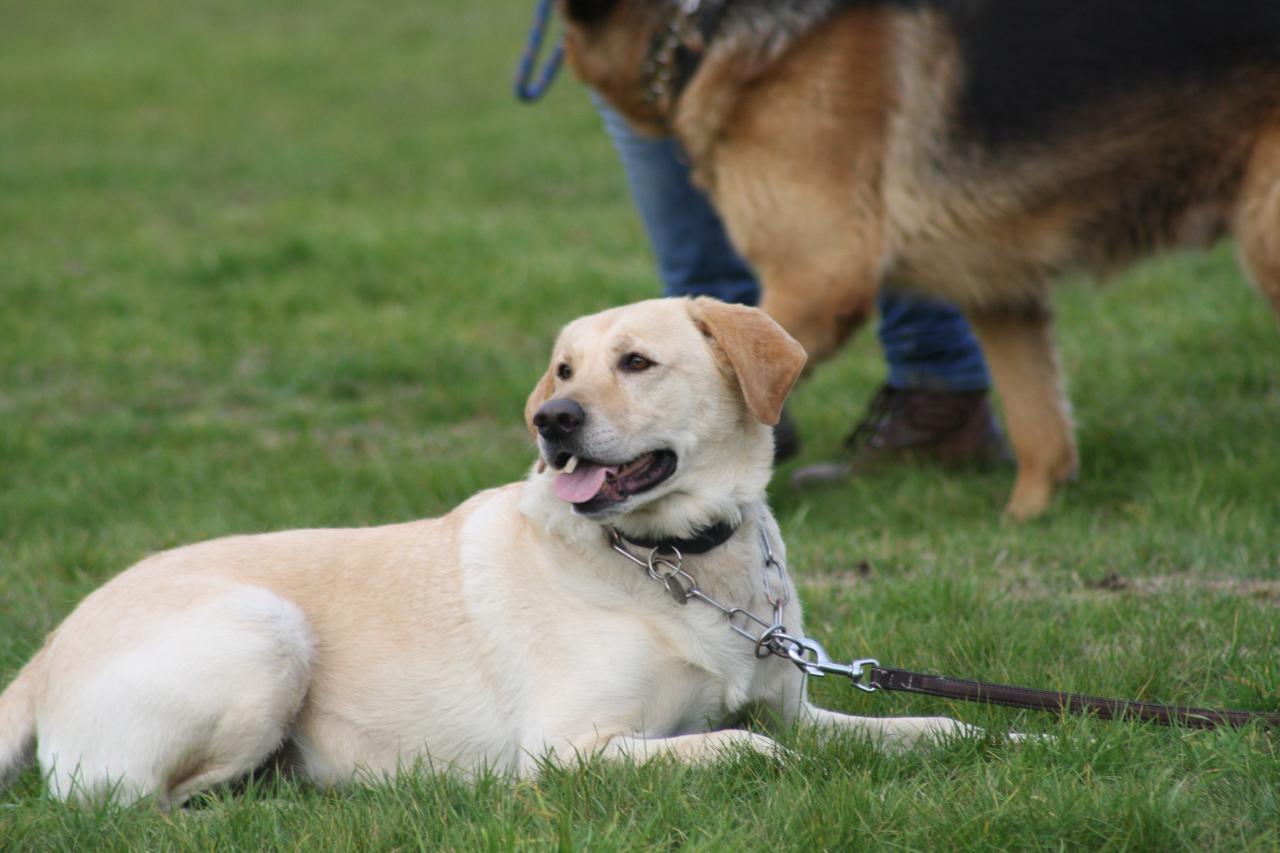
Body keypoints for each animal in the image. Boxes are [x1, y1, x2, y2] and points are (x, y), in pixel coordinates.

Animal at [0, 298, 972, 804]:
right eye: (566, 370)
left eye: (637, 362)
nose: (552, 421)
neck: (677, 559)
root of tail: (43, 654)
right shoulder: (567, 747)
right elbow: (743, 746)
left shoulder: (796, 706)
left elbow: (906, 729)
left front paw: (967, 731)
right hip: (264, 630)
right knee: (129, 801)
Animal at [565, 0, 1280, 514]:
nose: (553, 425)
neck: (708, 18)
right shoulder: (1000, 288)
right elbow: (1040, 428)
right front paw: (1027, 517)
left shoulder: (819, 280)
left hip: (1265, 240)